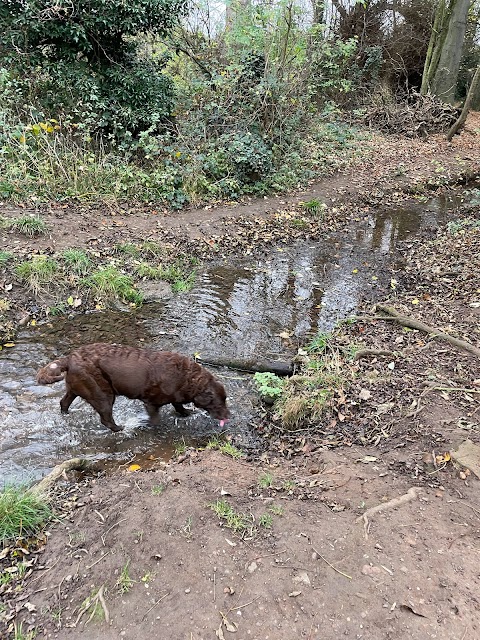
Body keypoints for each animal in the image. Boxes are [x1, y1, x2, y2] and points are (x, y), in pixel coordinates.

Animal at [36, 342, 229, 432]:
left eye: (225, 399)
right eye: (219, 403)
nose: (229, 416)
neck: (186, 377)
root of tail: (68, 358)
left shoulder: (176, 395)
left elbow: (178, 404)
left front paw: (187, 412)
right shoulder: (151, 402)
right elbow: (155, 418)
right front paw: (152, 425)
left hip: (76, 387)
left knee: (64, 402)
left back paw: (66, 414)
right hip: (102, 392)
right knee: (105, 417)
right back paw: (119, 428)